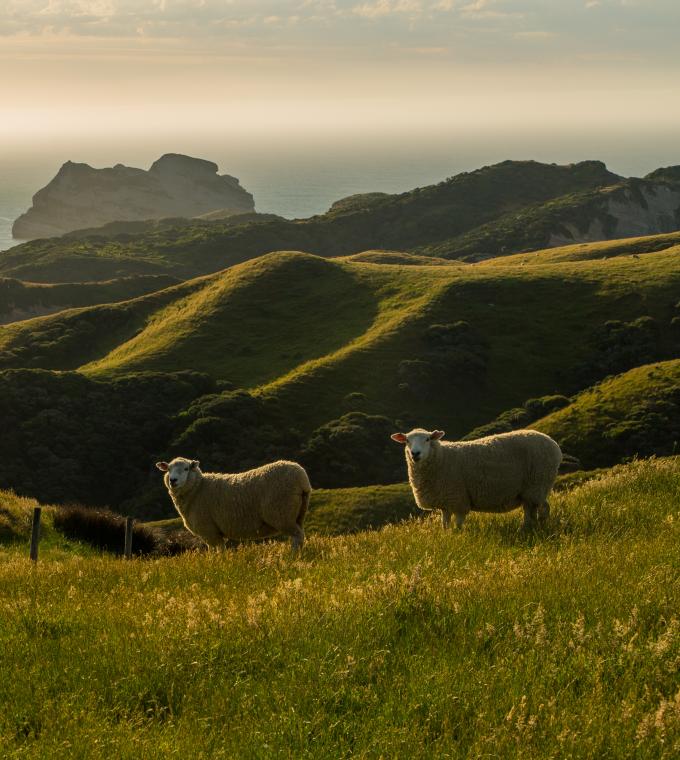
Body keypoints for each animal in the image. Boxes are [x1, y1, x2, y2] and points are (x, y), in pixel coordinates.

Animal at [156, 454, 310, 548]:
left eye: (186, 468)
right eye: (168, 469)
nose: (173, 480)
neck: (198, 488)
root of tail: (302, 477)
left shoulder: (209, 532)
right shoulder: (214, 533)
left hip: (281, 513)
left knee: (297, 536)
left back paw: (292, 558)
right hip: (298, 514)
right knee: (300, 536)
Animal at [390, 428, 560, 528]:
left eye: (427, 439)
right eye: (407, 441)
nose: (415, 453)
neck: (442, 458)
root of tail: (554, 444)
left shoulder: (458, 499)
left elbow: (458, 526)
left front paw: (457, 538)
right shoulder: (445, 501)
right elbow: (445, 525)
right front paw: (447, 538)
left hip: (538, 484)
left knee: (544, 508)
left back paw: (541, 526)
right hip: (529, 490)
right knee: (529, 510)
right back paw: (526, 528)